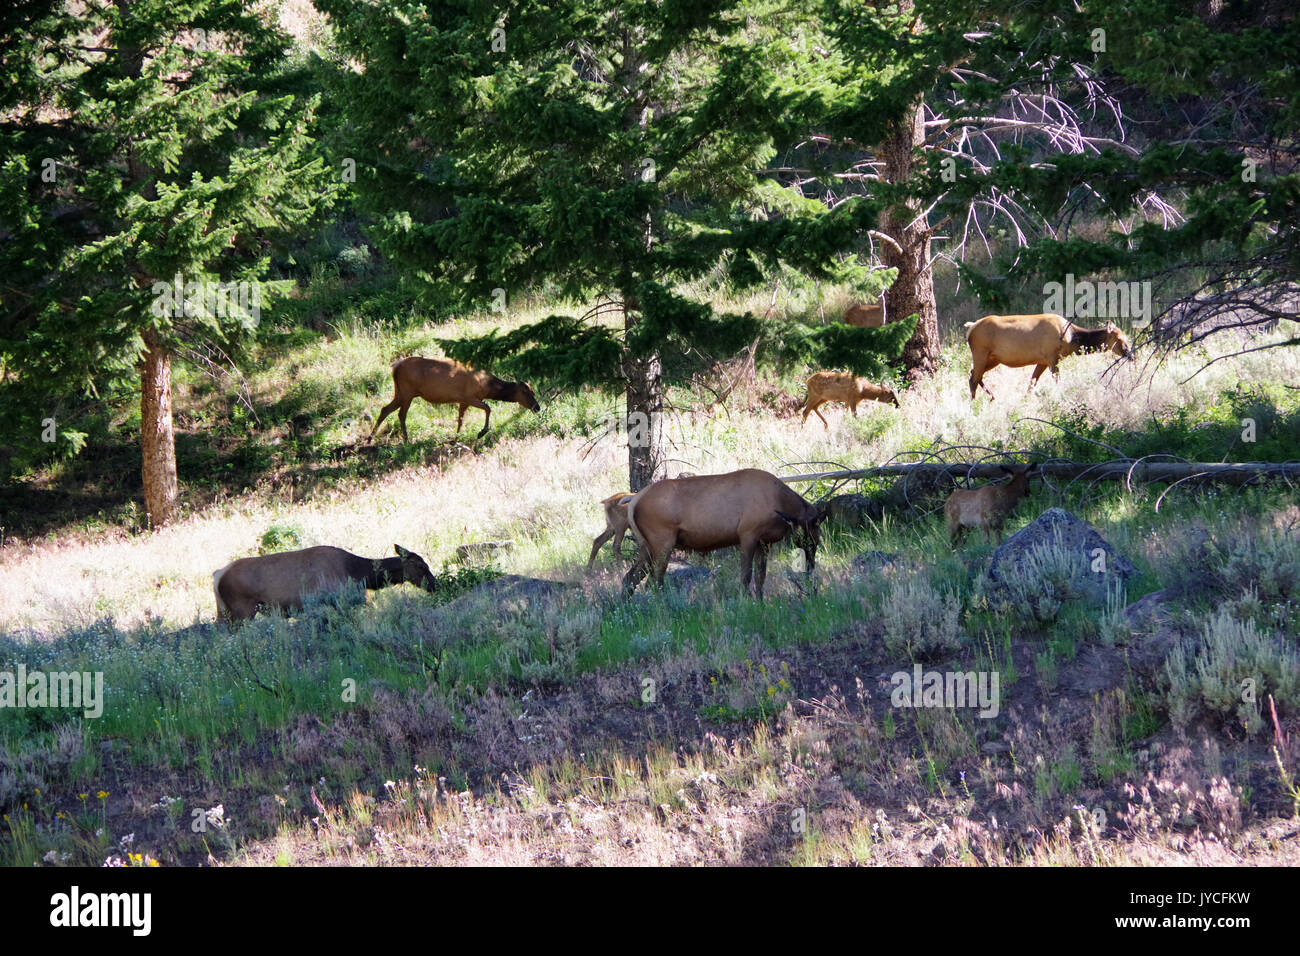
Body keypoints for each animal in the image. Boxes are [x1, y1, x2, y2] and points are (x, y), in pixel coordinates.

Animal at [211, 541, 436, 624]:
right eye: (421, 566)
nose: (435, 584)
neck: (358, 574)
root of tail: (217, 575)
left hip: (225, 612)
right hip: (242, 611)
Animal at [369, 356, 540, 442]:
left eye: (533, 391)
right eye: (528, 392)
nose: (537, 407)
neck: (486, 387)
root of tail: (395, 367)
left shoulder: (462, 401)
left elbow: (460, 420)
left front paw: (455, 438)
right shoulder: (469, 397)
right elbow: (488, 408)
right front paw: (481, 432)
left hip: (400, 392)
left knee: (385, 409)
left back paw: (370, 438)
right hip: (407, 392)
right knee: (401, 414)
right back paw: (406, 440)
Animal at [618, 468, 821, 598]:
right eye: (812, 535)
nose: (811, 563)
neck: (780, 505)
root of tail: (634, 501)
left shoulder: (765, 542)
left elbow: (760, 577)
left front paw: (760, 602)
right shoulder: (748, 534)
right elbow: (746, 576)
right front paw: (746, 602)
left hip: (646, 546)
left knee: (630, 578)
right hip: (662, 542)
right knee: (653, 581)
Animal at [961, 314, 1133, 400]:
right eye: (1119, 338)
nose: (1131, 355)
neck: (1072, 339)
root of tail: (970, 329)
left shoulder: (1042, 361)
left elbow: (1032, 383)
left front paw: (1025, 402)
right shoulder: (1052, 357)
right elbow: (1056, 381)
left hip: (994, 358)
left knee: (974, 375)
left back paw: (992, 397)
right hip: (981, 352)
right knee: (973, 378)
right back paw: (974, 405)